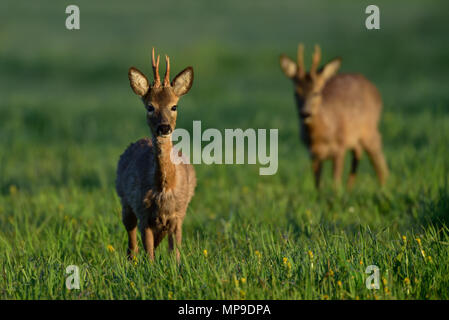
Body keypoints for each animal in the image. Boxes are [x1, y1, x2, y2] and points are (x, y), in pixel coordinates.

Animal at [117, 48, 196, 262]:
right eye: (150, 106)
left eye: (174, 106)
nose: (164, 127)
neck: (164, 188)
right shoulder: (143, 213)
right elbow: (150, 255)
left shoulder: (178, 215)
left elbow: (175, 254)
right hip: (125, 202)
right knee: (131, 242)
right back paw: (131, 261)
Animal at [278, 43, 386, 189]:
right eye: (296, 93)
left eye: (316, 92)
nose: (305, 113)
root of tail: (373, 87)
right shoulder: (312, 153)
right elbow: (318, 184)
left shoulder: (339, 147)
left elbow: (335, 181)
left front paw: (337, 194)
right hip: (355, 137)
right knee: (358, 153)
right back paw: (350, 188)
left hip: (369, 128)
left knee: (378, 156)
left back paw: (383, 188)